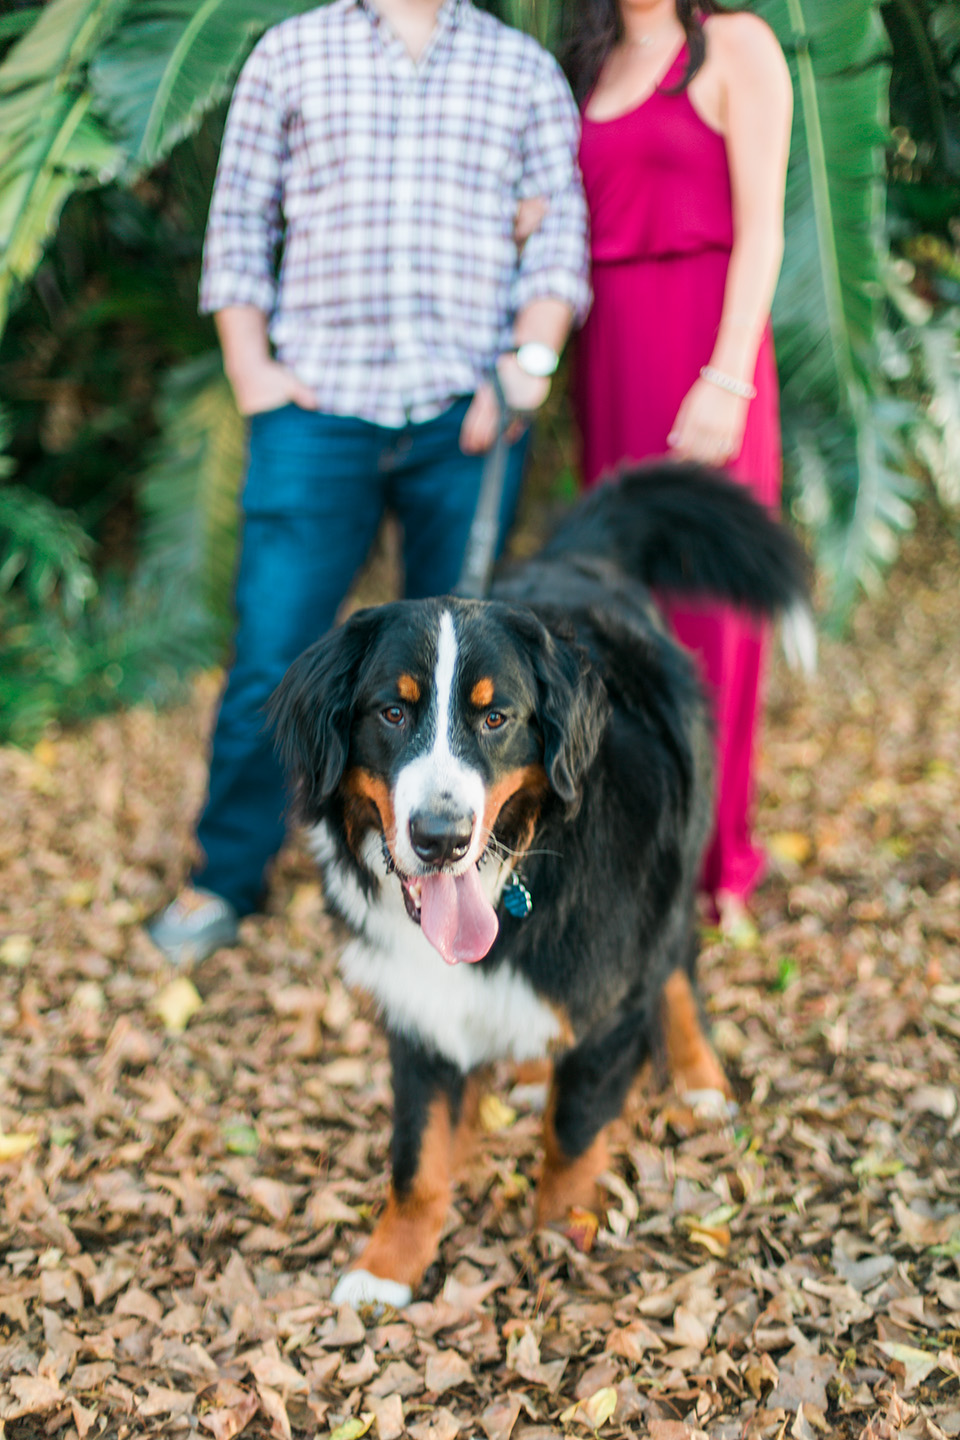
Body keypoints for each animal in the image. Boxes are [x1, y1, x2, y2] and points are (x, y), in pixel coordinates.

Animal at [269, 460, 811, 1307]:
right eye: (392, 712)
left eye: (496, 719)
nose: (441, 837)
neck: (521, 871)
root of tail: (578, 558)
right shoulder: (418, 1009)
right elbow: (417, 1157)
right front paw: (388, 1265)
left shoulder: (612, 997)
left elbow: (573, 1129)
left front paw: (561, 1234)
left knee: (678, 971)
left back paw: (699, 1079)